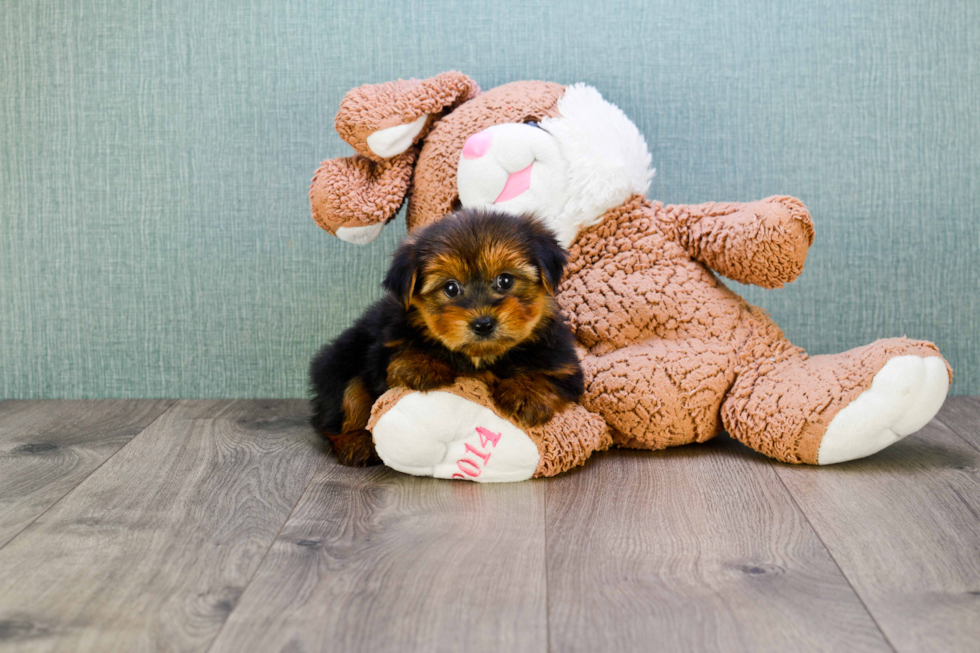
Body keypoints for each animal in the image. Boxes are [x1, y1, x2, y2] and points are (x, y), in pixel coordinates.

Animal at [310, 208, 580, 464]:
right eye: (451, 288)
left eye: (505, 280)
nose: (483, 323)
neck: (481, 357)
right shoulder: (384, 345)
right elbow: (398, 353)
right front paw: (420, 363)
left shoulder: (565, 364)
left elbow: (553, 377)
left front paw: (526, 391)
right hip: (340, 363)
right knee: (343, 403)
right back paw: (355, 442)